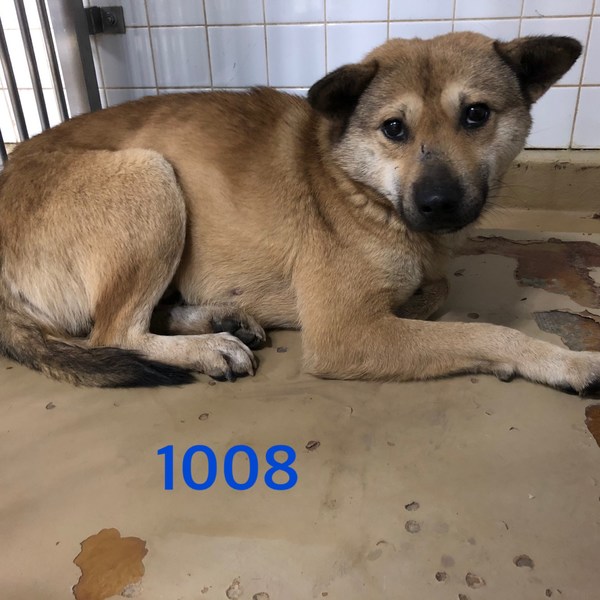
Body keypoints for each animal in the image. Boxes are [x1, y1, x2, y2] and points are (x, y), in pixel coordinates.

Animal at [0, 32, 595, 393]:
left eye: (475, 115)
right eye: (394, 128)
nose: (438, 203)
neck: (353, 183)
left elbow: (436, 287)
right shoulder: (345, 333)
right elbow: (484, 333)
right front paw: (562, 361)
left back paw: (218, 319)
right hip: (152, 177)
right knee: (112, 333)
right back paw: (210, 346)